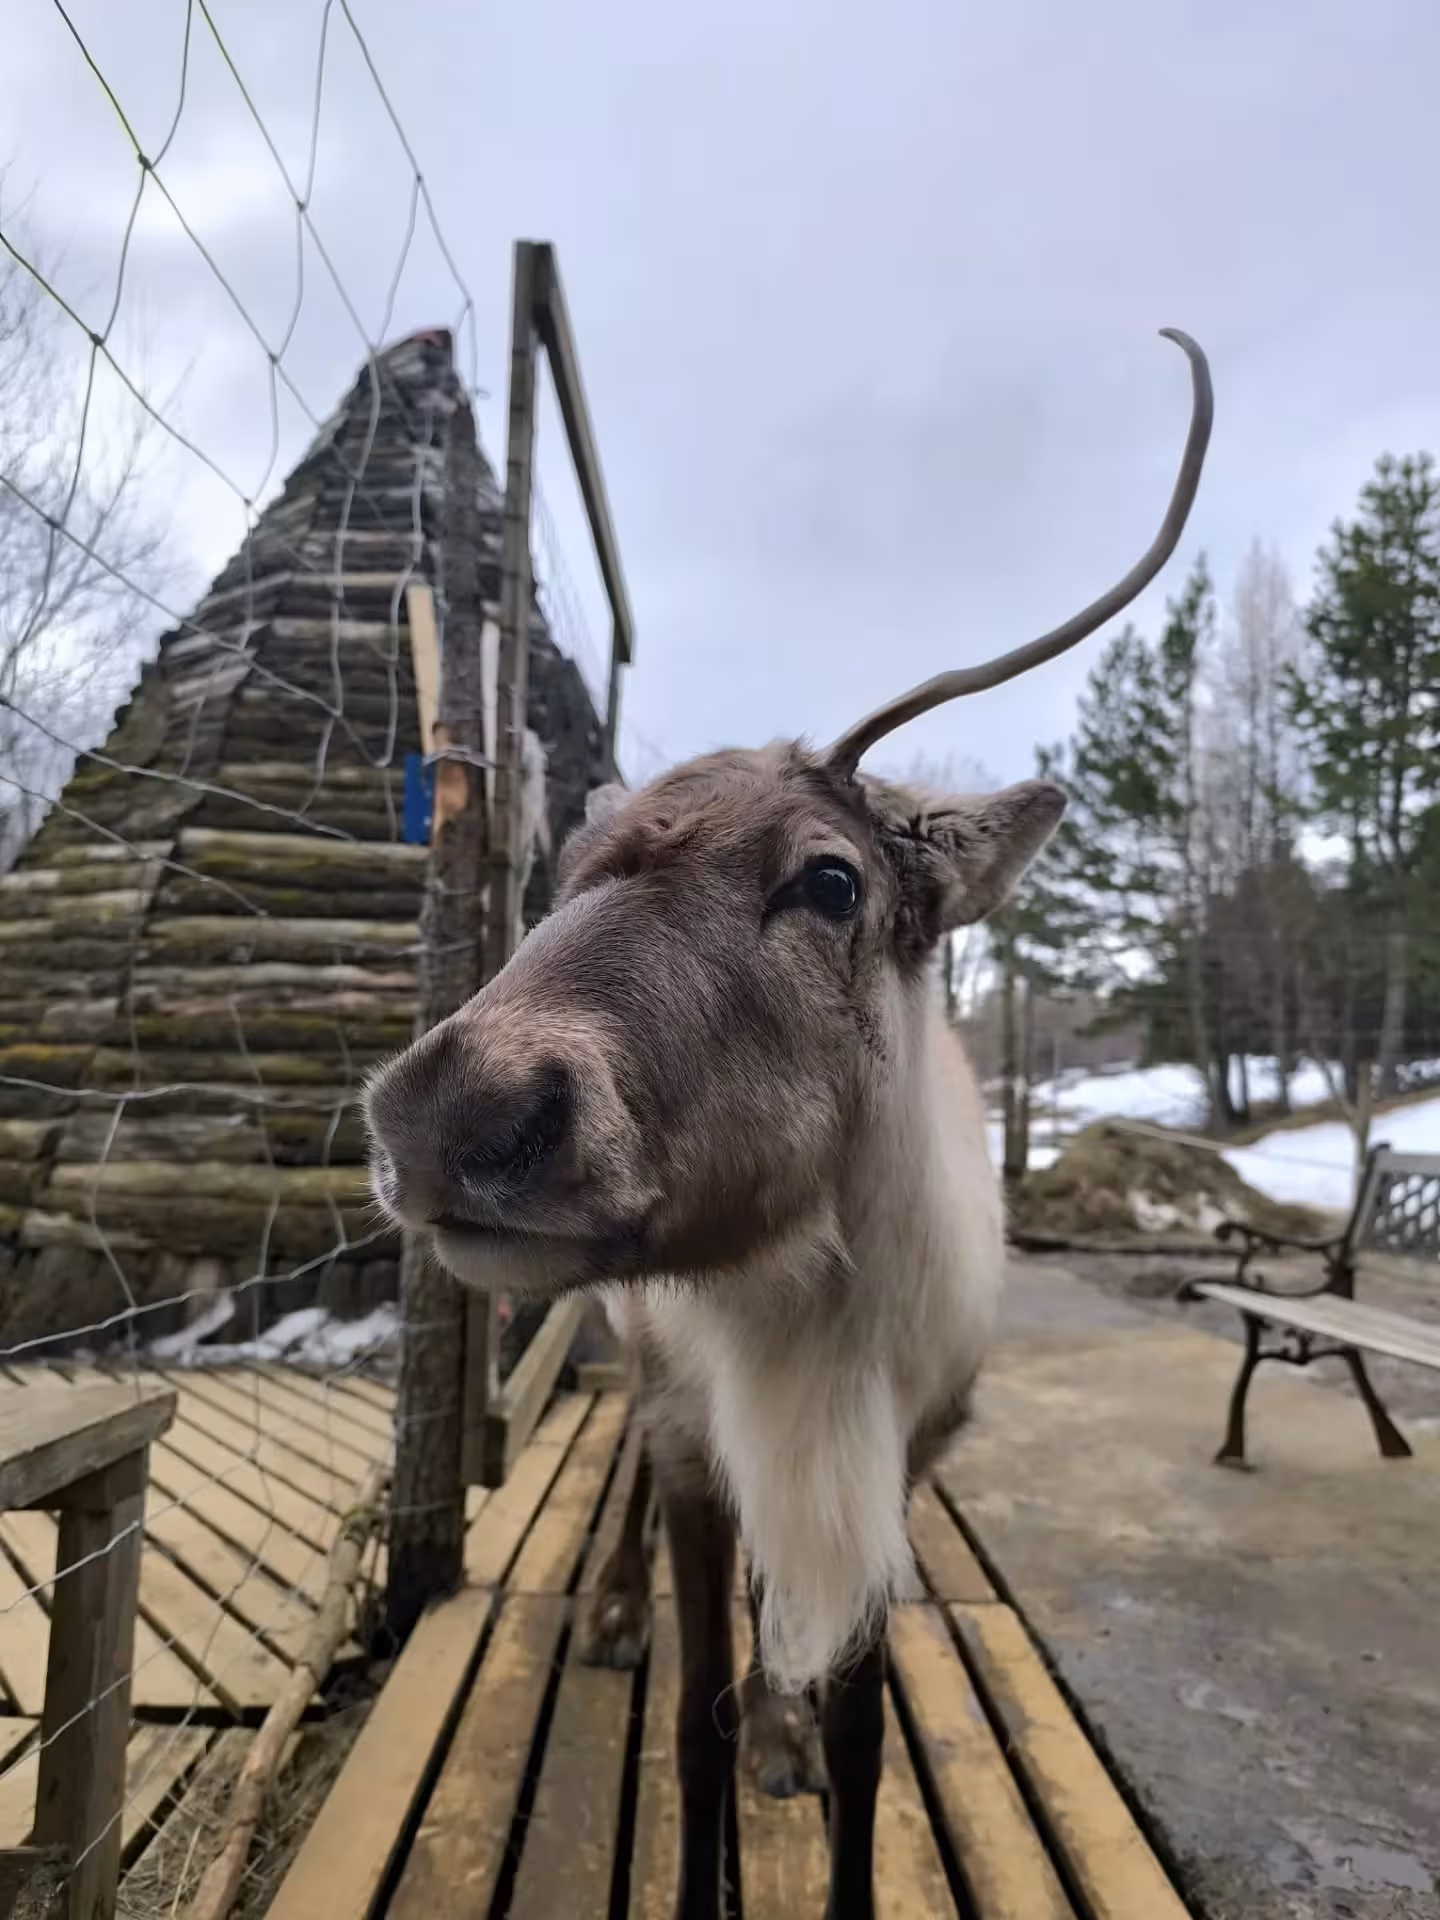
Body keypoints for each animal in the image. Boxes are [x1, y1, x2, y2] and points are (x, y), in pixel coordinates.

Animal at [364, 329, 1212, 1920]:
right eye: (561, 872)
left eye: (830, 880)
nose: (450, 1109)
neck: (815, 1314)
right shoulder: (702, 1433)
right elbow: (689, 1721)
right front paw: (707, 1718)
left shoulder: (901, 1459)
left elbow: (864, 1734)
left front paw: (798, 1739)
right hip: (645, 1370)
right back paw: (622, 1619)